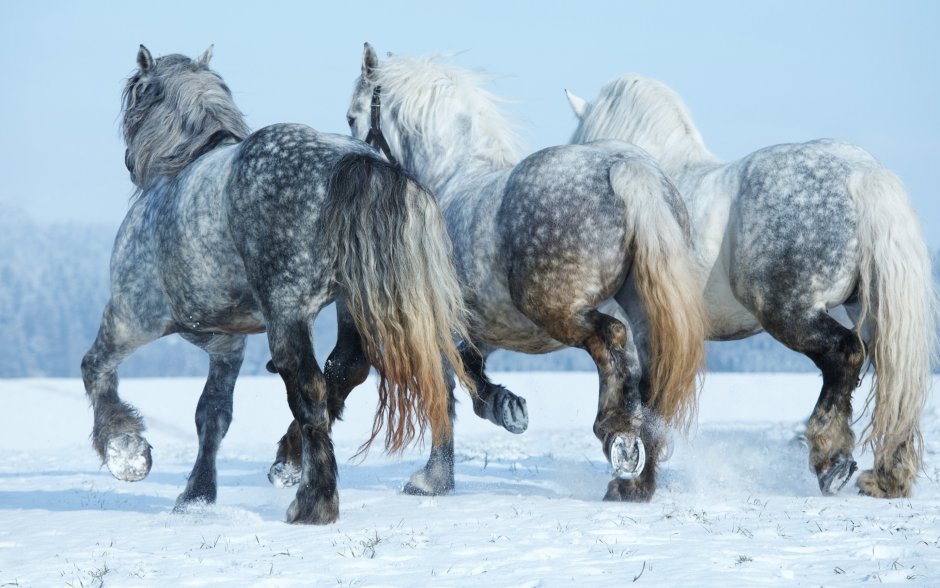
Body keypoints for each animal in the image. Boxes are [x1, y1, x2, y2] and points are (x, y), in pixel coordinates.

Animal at [80, 45, 473, 525]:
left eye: (135, 94)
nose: (129, 162)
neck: (183, 164)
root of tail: (354, 161)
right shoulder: (226, 345)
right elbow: (212, 415)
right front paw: (196, 494)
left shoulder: (131, 316)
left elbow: (95, 369)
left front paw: (126, 452)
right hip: (351, 304)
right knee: (345, 368)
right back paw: (290, 461)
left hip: (283, 313)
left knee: (308, 387)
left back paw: (314, 499)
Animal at [269, 44, 707, 502]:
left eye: (352, 114)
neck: (450, 176)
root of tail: (625, 167)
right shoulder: (472, 328)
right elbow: (468, 380)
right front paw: (506, 409)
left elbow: (426, 392)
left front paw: (429, 479)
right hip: (644, 309)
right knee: (653, 380)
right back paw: (633, 480)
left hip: (554, 308)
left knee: (610, 340)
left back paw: (615, 433)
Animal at [564, 74, 938, 498]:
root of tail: (860, 172)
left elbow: (638, 397)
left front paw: (632, 481)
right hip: (872, 313)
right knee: (895, 382)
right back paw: (885, 477)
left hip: (790, 313)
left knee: (845, 355)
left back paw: (831, 459)